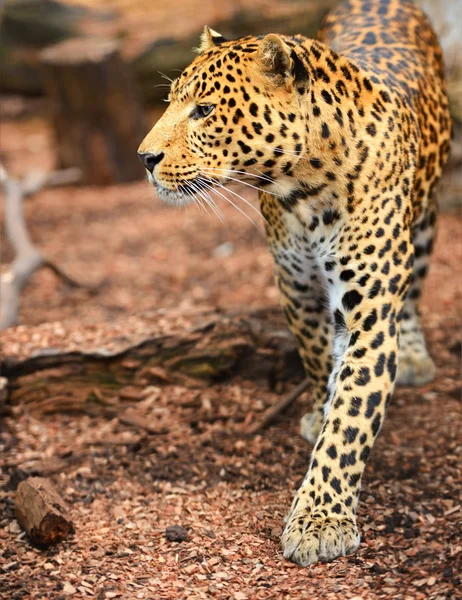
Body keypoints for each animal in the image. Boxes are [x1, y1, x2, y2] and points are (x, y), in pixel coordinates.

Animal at [137, 0, 452, 564]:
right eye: (172, 102)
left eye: (204, 111)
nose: (144, 159)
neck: (306, 189)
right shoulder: (295, 286)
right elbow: (318, 359)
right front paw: (318, 409)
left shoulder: (370, 312)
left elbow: (352, 415)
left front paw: (319, 519)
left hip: (427, 219)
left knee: (415, 288)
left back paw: (416, 355)